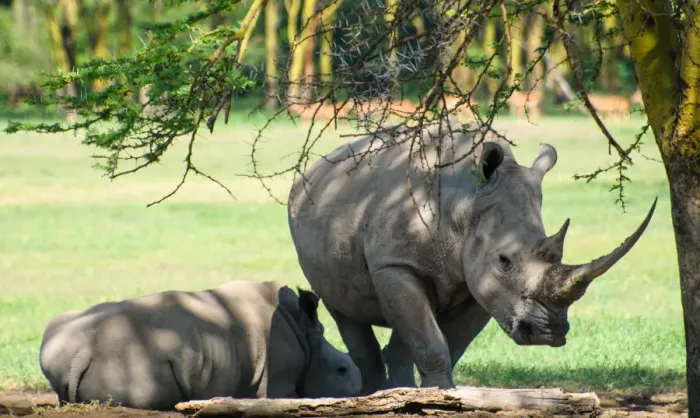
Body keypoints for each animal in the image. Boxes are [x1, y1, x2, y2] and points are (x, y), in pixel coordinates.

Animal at [39, 280, 362, 410]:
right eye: (342, 370)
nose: (360, 390)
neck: (305, 333)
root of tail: (80, 353)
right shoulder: (278, 381)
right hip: (128, 354)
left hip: (60, 339)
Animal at [287, 119, 656, 394]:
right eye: (504, 261)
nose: (547, 333)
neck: (467, 204)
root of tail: (316, 166)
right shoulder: (396, 264)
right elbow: (431, 341)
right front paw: (434, 396)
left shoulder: (482, 284)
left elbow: (448, 344)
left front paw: (438, 395)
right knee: (344, 310)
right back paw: (376, 393)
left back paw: (396, 390)